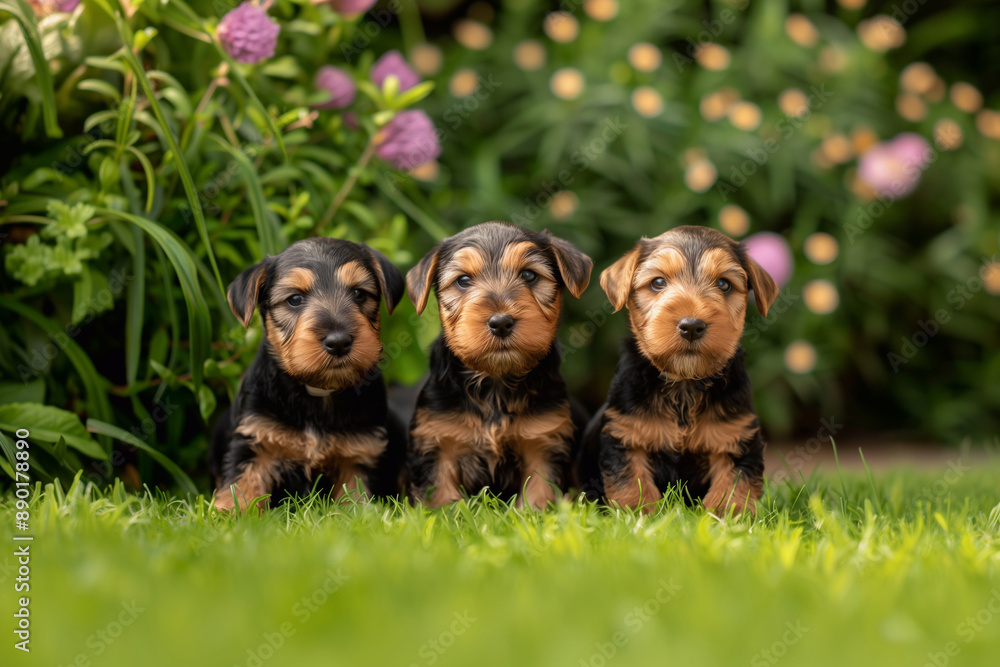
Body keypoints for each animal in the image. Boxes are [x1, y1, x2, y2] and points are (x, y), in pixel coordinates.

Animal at [211, 239, 406, 512]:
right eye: (294, 299)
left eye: (359, 293)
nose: (338, 342)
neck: (318, 390)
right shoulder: (255, 442)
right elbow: (241, 486)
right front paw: (232, 516)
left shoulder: (359, 453)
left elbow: (356, 498)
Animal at [406, 222, 592, 508]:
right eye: (463, 281)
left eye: (529, 275)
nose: (501, 322)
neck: (495, 380)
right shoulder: (437, 441)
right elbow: (440, 493)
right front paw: (446, 513)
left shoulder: (544, 439)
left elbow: (539, 490)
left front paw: (534, 513)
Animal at [580, 226, 780, 516]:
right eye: (658, 282)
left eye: (724, 284)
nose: (691, 326)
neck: (684, 382)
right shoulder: (626, 436)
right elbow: (632, 482)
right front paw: (640, 515)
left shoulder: (734, 439)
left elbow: (732, 485)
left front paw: (724, 515)